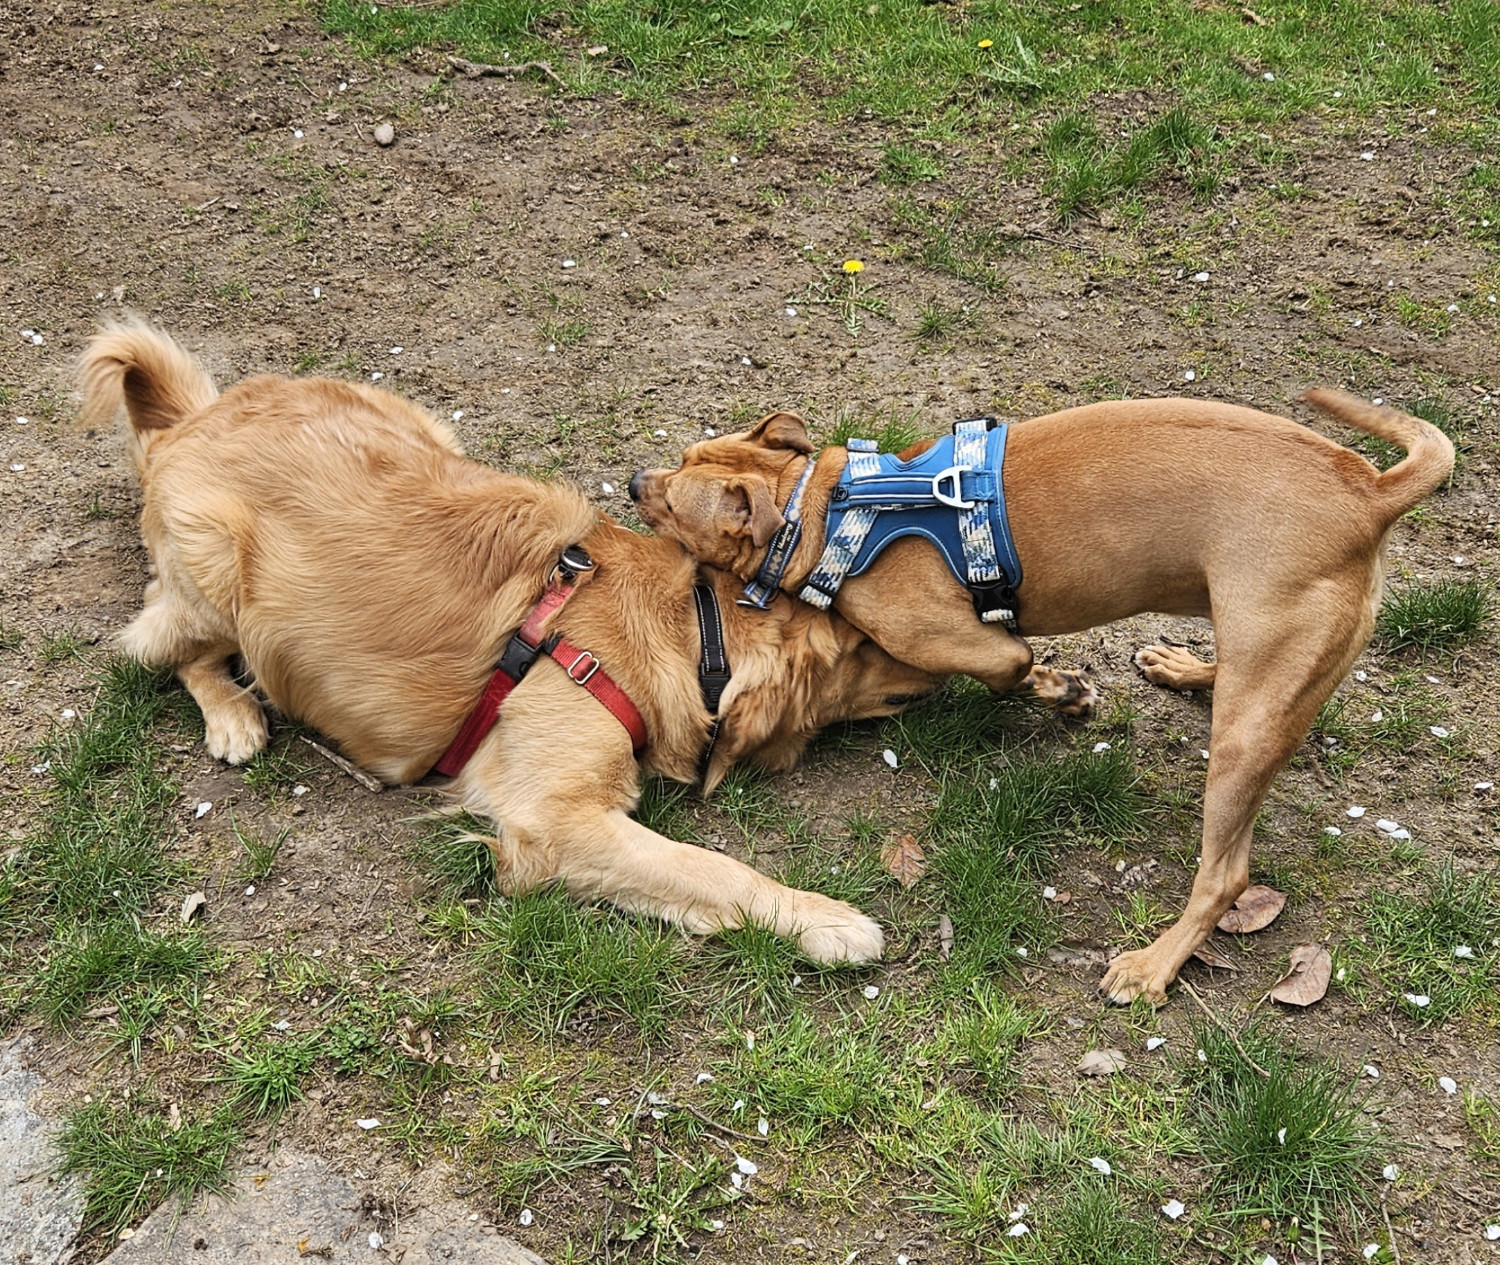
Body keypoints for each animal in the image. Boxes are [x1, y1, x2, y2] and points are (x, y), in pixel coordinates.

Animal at [82, 321, 930, 966]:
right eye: (860, 643)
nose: (935, 669)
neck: (693, 627)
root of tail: (185, 424)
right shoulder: (549, 818)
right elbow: (714, 868)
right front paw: (827, 920)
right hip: (216, 567)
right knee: (157, 637)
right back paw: (233, 715)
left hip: (420, 427)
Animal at [630, 390, 1452, 1002]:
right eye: (682, 460)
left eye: (671, 502)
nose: (637, 480)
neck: (825, 508)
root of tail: (1369, 491)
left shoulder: (974, 645)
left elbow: (1010, 669)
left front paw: (1061, 692)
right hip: (1251, 641)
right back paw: (1184, 667)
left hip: (1245, 741)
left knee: (1225, 876)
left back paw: (1153, 967)